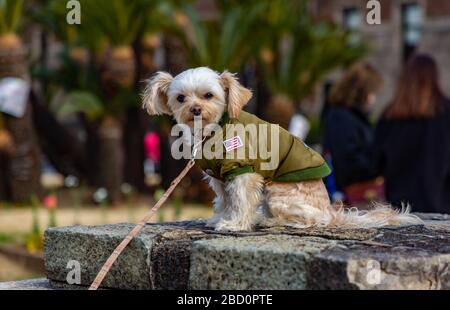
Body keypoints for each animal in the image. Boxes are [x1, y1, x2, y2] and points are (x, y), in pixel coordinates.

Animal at [143, 68, 422, 232]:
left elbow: (240, 200)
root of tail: (330, 210)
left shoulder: (242, 171)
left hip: (279, 194)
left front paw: (235, 224)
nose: (195, 109)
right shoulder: (220, 177)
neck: (214, 129)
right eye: (180, 98)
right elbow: (224, 200)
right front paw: (219, 217)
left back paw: (271, 220)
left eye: (208, 96)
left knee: (311, 221)